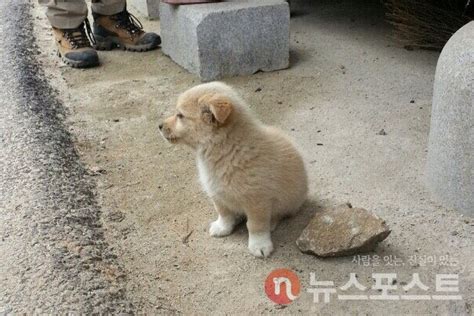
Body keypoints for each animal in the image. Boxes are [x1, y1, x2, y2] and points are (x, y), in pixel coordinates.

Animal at [159, 82, 308, 256]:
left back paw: (272, 222)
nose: (159, 126)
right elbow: (224, 213)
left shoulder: (257, 200)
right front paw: (223, 228)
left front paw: (259, 244)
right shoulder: (217, 194)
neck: (227, 150)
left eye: (180, 115)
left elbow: (256, 225)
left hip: (290, 201)